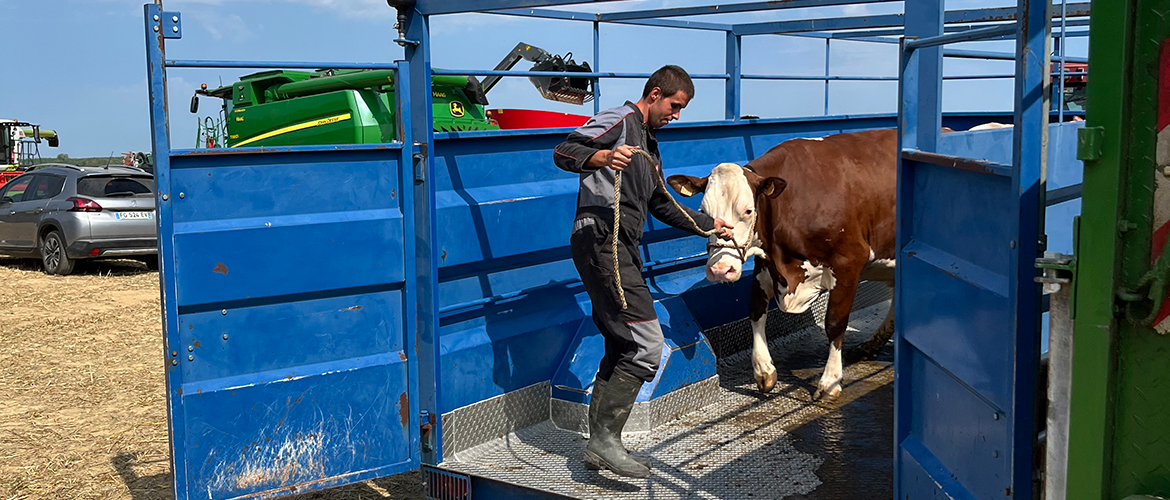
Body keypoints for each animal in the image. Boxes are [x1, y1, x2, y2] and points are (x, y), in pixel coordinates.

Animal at [669, 128, 893, 400]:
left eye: (748, 210)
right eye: (703, 211)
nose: (720, 270)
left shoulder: (849, 262)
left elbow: (835, 323)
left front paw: (830, 381)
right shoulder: (765, 264)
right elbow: (755, 310)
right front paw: (764, 370)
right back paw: (868, 348)